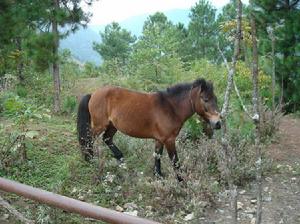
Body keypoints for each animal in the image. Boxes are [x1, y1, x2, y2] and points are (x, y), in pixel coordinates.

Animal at [78, 78, 220, 181]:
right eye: (205, 99)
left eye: (216, 99)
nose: (218, 123)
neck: (170, 107)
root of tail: (93, 94)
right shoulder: (169, 140)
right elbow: (175, 161)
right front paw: (181, 181)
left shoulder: (160, 139)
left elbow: (157, 156)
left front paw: (158, 176)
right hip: (99, 125)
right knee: (88, 139)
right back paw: (90, 159)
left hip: (112, 126)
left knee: (107, 138)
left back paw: (120, 158)